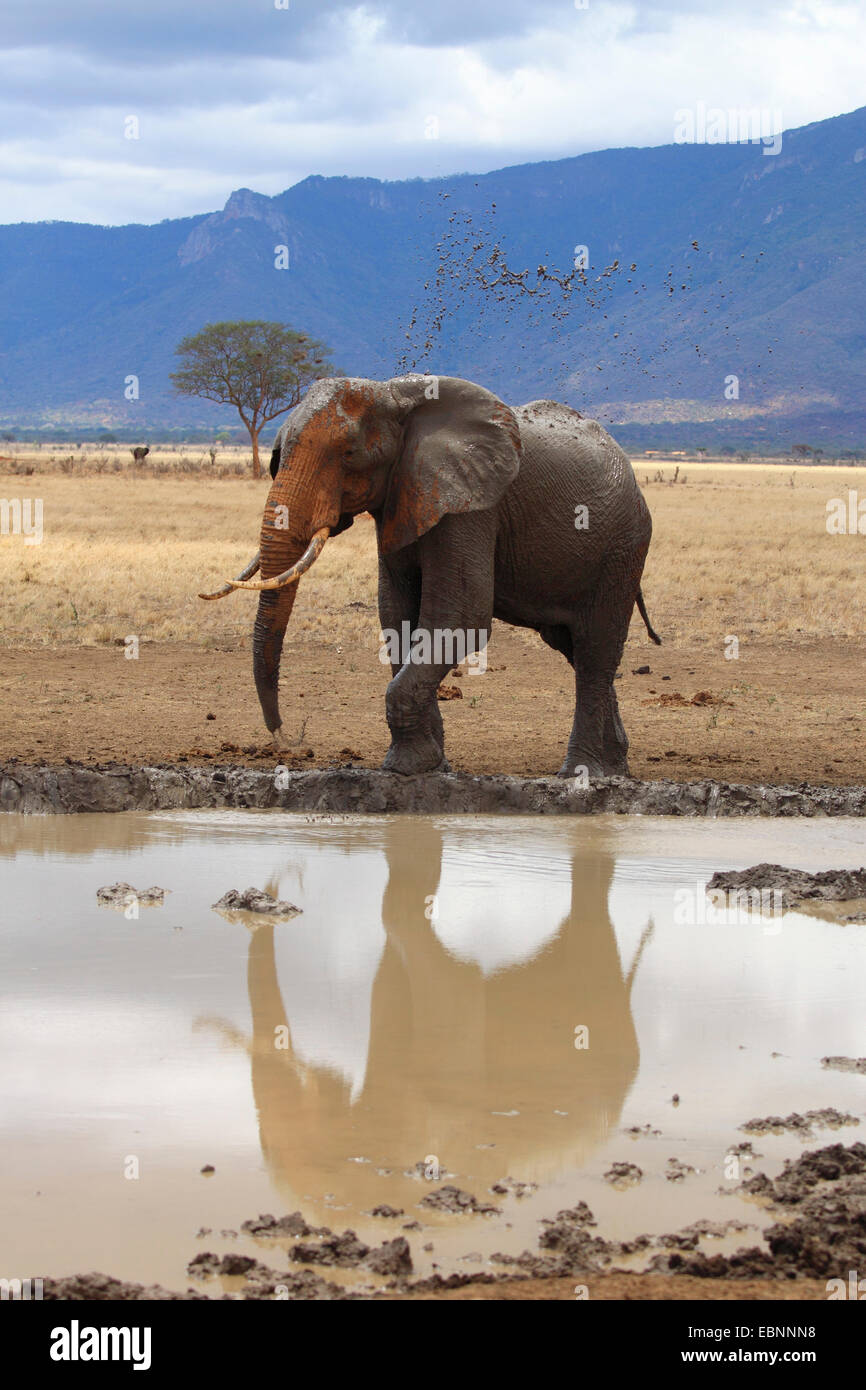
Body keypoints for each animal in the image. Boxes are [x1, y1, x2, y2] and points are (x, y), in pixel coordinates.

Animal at [200, 375, 661, 778]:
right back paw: (616, 768)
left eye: (349, 455)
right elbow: (396, 613)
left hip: (623, 545)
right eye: (279, 454)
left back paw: (583, 774)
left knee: (595, 648)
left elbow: (461, 616)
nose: (287, 738)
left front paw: (405, 768)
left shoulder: (470, 506)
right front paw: (431, 765)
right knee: (574, 648)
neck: (393, 394)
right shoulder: (403, 496)